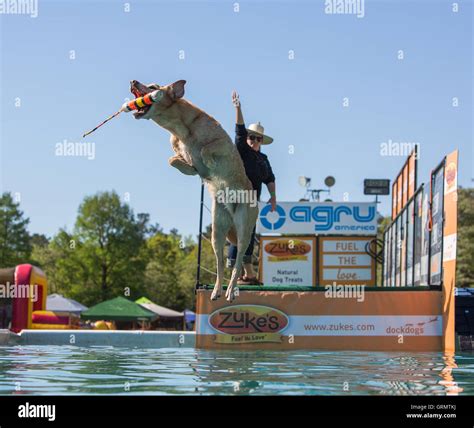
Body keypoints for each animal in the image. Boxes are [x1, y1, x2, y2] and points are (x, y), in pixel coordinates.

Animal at [131, 79, 260, 300]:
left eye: (153, 86)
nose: (133, 81)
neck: (180, 128)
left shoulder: (223, 143)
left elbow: (206, 148)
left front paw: (207, 161)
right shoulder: (176, 149)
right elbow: (173, 160)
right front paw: (191, 167)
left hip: (244, 226)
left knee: (239, 260)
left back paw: (231, 291)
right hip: (217, 229)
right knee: (220, 262)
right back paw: (216, 290)